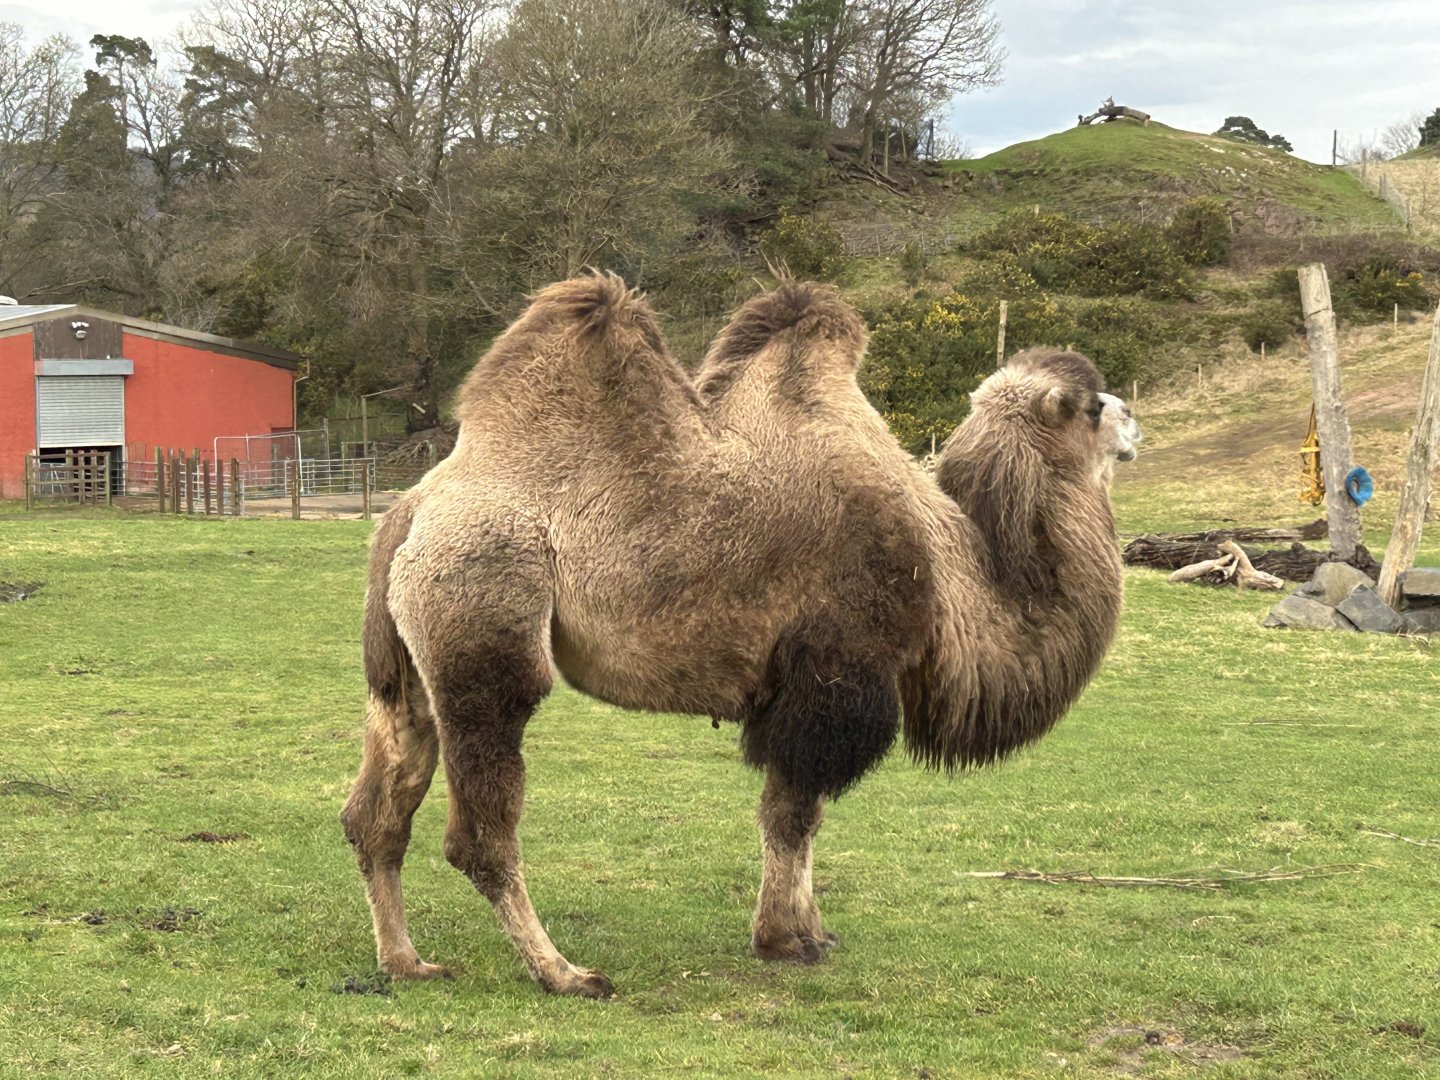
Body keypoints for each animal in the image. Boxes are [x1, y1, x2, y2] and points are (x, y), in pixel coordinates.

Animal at [342, 274, 1128, 997]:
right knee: (479, 831)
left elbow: (797, 814)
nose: (1132, 423)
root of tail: (411, 507)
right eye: (1093, 404)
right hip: (483, 616)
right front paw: (787, 939)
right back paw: (564, 972)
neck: (949, 573)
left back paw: (405, 961)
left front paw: (809, 931)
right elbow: (793, 812)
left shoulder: (810, 686)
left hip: (405, 664)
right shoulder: (838, 674)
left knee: (376, 811)